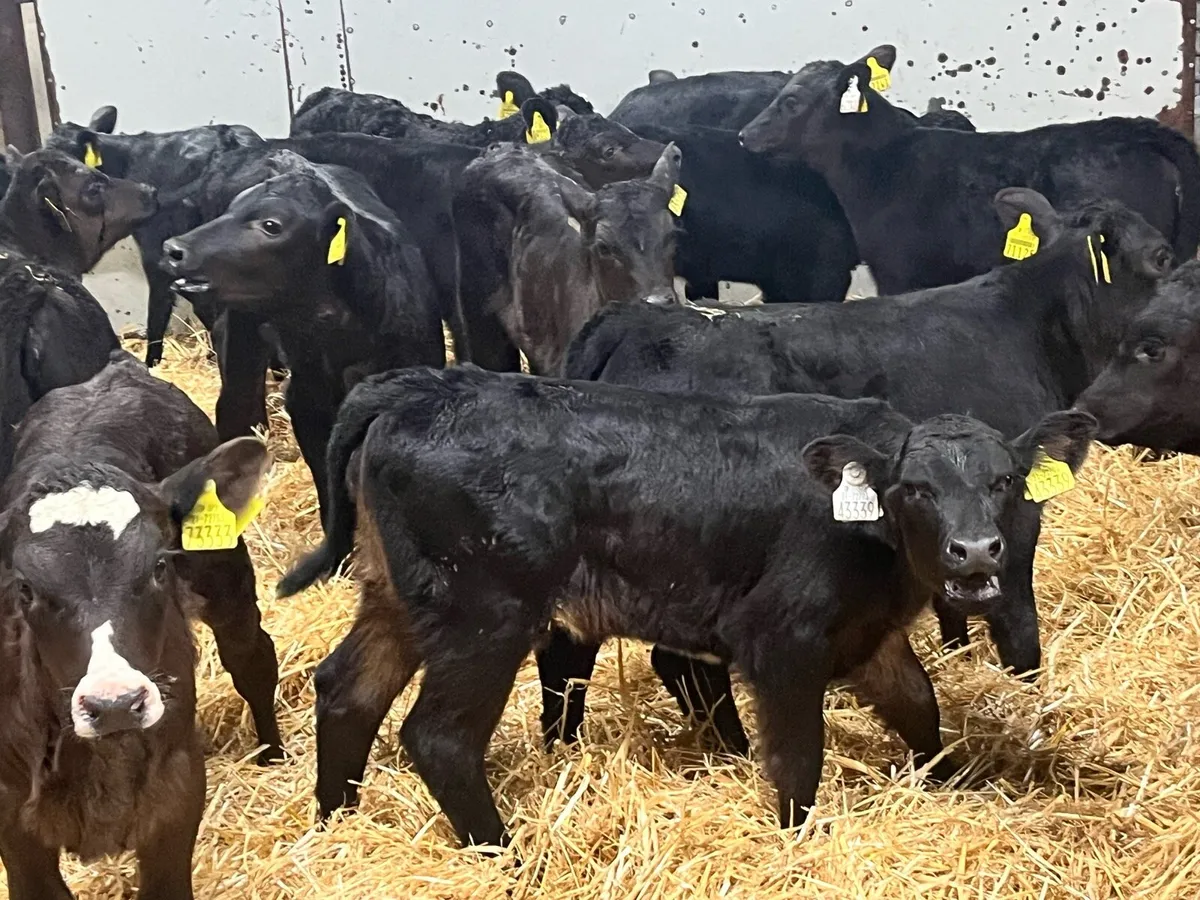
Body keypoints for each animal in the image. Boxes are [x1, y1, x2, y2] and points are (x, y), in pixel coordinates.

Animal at [0, 354, 280, 900]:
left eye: (158, 565)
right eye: (25, 588)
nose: (115, 703)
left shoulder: (177, 793)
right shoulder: (13, 822)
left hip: (225, 578)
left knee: (254, 658)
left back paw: (273, 754)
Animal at [275, 364, 1097, 847]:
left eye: (1003, 480)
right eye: (915, 489)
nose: (976, 551)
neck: (866, 532)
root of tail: (415, 386)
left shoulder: (867, 635)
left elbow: (918, 705)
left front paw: (945, 786)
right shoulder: (781, 638)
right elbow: (798, 758)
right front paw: (796, 846)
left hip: (398, 596)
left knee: (346, 690)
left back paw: (333, 827)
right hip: (485, 612)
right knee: (439, 737)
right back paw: (502, 853)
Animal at [551, 190, 1172, 751]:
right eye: (1164, 256)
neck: (1032, 329)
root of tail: (632, 320)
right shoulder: (1014, 512)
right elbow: (1016, 621)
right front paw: (1028, 693)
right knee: (675, 662)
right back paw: (731, 752)